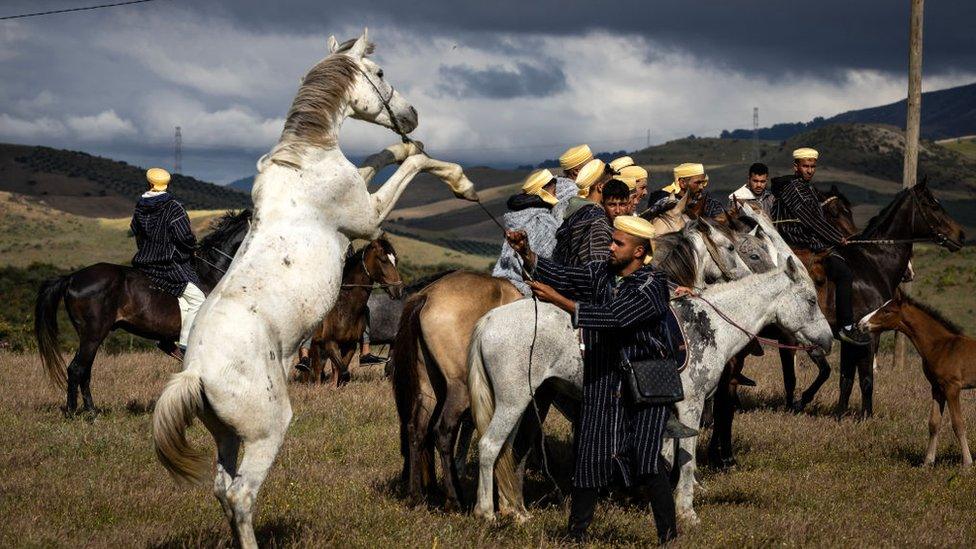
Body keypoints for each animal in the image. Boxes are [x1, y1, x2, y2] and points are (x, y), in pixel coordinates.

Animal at [35, 209, 252, 412]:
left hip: (90, 336)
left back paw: (91, 411)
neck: (212, 275)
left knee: (84, 371)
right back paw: (75, 412)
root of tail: (72, 278)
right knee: (76, 369)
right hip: (93, 334)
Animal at [302, 239, 400, 386]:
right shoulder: (330, 343)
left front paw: (333, 387)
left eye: (395, 260)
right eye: (383, 259)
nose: (398, 289)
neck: (345, 308)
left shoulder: (350, 345)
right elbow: (342, 370)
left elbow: (339, 368)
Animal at [860, 292, 976, 466]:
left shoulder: (952, 388)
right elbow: (934, 423)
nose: (861, 324)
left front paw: (967, 463)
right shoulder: (937, 388)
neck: (940, 346)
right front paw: (928, 462)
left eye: (887, 311)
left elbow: (958, 424)